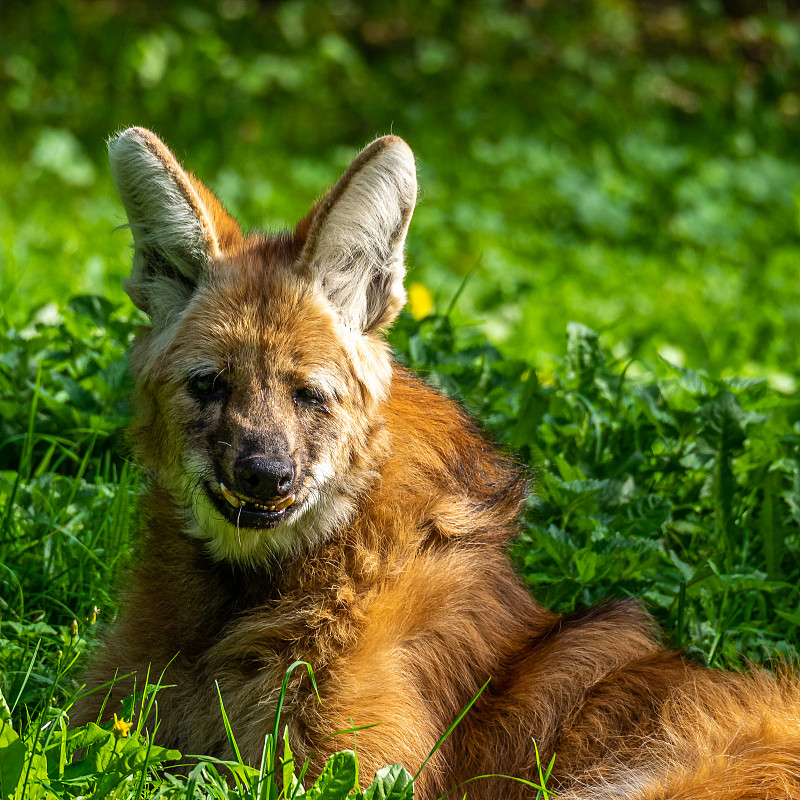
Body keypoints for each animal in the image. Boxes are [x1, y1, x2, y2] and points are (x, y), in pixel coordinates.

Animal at [75, 128, 800, 796]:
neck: (237, 603)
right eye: (210, 385)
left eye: (309, 394)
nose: (264, 476)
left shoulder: (355, 768)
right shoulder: (110, 719)